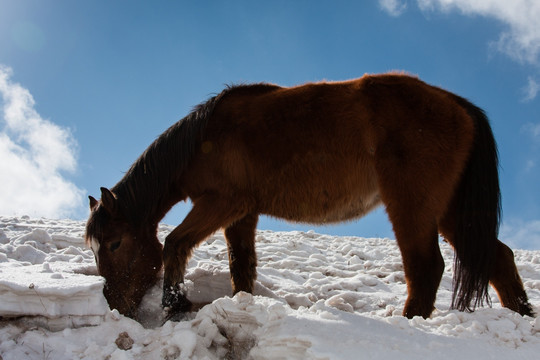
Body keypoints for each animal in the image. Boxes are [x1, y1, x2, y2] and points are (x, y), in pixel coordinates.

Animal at [83, 71, 532, 320]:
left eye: (115, 243)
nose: (115, 304)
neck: (202, 139)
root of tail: (459, 105)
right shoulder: (242, 214)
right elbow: (242, 266)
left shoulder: (220, 203)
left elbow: (175, 243)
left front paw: (175, 304)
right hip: (451, 213)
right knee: (498, 258)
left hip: (413, 207)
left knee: (426, 268)